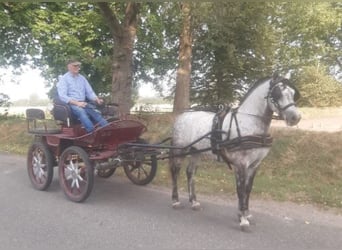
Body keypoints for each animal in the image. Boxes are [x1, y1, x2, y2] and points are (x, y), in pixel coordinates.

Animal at [170, 73, 300, 229]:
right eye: (277, 93)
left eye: (292, 93)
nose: (295, 117)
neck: (249, 123)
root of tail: (182, 115)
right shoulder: (241, 164)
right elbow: (240, 190)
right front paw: (243, 219)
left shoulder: (254, 165)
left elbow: (248, 189)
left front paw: (245, 213)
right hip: (180, 150)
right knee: (175, 172)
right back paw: (175, 200)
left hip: (196, 152)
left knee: (190, 173)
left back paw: (194, 201)